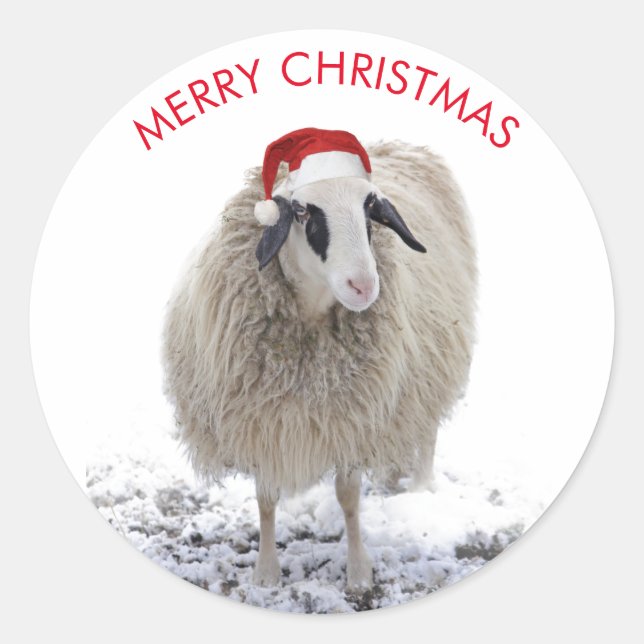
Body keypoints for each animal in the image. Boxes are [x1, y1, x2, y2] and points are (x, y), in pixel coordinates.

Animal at [161, 129, 477, 590]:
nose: (363, 286)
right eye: (301, 210)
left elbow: (348, 498)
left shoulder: (354, 417)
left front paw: (359, 572)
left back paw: (420, 485)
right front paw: (266, 573)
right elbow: (266, 499)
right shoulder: (262, 420)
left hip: (433, 365)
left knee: (428, 427)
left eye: (370, 208)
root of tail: (397, 144)